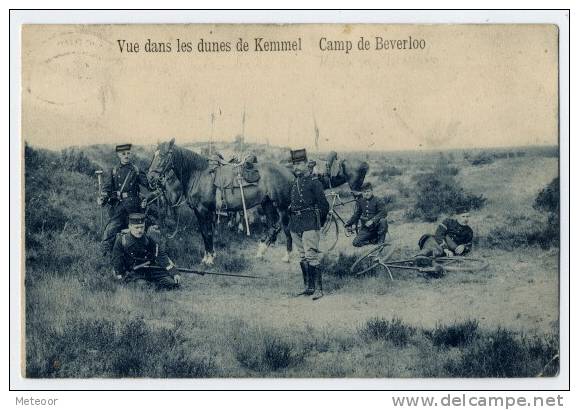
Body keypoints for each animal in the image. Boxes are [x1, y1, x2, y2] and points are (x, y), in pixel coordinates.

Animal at [147, 139, 296, 264]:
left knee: (286, 229)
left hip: (282, 207)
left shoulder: (204, 211)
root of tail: (289, 172)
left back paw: (287, 256)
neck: (199, 175)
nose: (150, 177)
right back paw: (261, 252)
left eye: (163, 155)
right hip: (267, 204)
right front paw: (208, 256)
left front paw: (209, 259)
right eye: (154, 155)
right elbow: (204, 233)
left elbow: (207, 233)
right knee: (272, 228)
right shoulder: (199, 212)